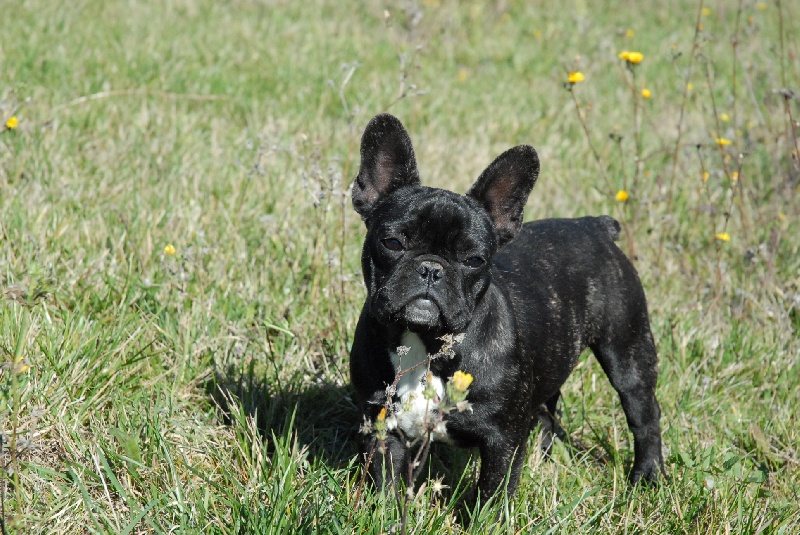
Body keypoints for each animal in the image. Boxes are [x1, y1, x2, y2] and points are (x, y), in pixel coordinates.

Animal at [348, 115, 664, 504]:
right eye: (392, 243)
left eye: (474, 260)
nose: (431, 268)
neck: (427, 343)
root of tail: (592, 224)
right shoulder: (382, 424)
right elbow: (386, 479)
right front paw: (384, 510)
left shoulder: (502, 440)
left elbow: (493, 492)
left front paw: (485, 514)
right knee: (548, 407)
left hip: (627, 352)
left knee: (644, 414)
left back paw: (648, 475)